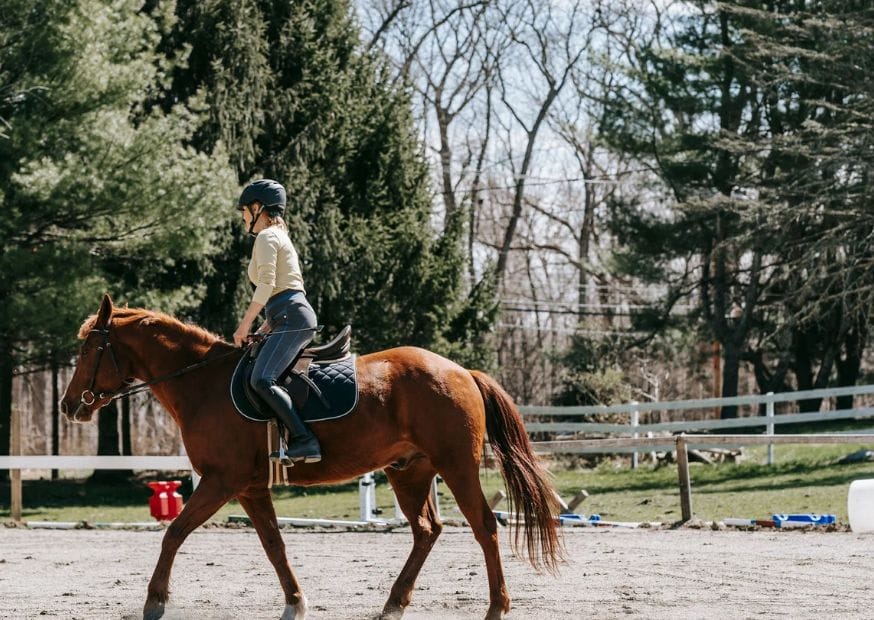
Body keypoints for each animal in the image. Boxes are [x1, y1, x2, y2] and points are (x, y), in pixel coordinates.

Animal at [59, 294, 562, 620]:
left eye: (88, 348)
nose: (68, 406)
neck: (203, 384)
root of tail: (460, 370)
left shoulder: (222, 481)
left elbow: (174, 533)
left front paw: (155, 600)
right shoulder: (249, 488)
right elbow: (274, 545)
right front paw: (295, 602)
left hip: (455, 466)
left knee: (484, 526)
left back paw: (496, 607)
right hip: (409, 471)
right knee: (426, 530)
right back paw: (394, 603)